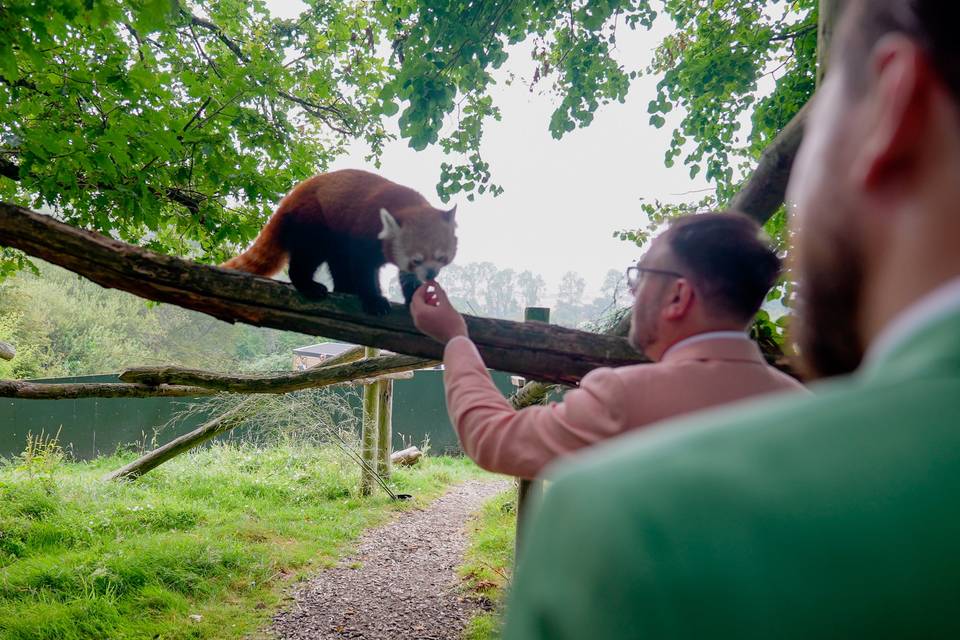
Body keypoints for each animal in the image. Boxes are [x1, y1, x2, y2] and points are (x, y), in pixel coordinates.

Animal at [221, 166, 458, 314]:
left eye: (441, 257)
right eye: (416, 259)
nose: (431, 274)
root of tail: (289, 198)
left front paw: (414, 299)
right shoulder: (365, 233)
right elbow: (363, 268)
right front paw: (374, 300)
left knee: (338, 261)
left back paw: (344, 289)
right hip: (314, 220)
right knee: (309, 255)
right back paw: (310, 286)